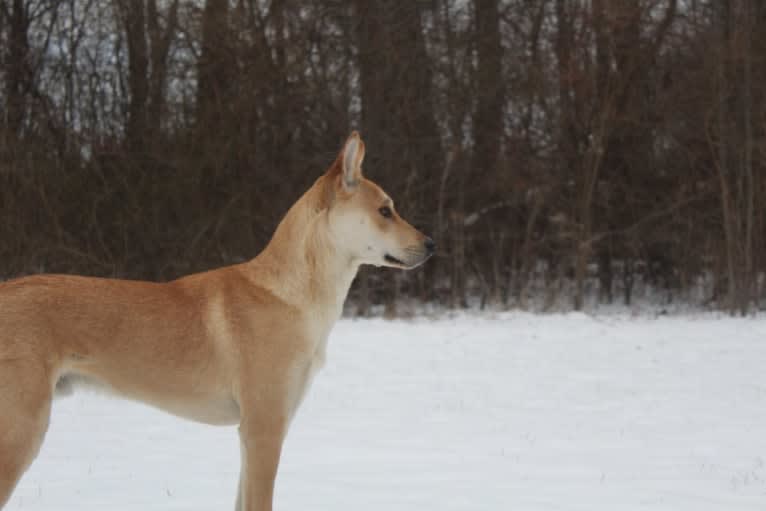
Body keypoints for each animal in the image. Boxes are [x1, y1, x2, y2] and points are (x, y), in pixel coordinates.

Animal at [0, 133, 436, 511]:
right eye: (385, 211)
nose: (432, 245)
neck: (293, 293)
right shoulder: (263, 430)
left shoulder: (252, 435)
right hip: (21, 432)